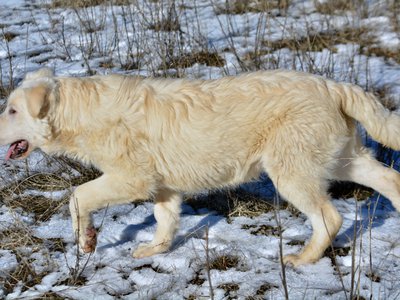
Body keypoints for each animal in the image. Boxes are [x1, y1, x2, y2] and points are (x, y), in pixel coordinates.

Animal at [1, 69, 398, 266]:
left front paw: (85, 240)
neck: (79, 113)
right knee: (389, 178)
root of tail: (333, 85)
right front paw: (156, 251)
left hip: (292, 171)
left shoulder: (131, 179)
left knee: (330, 218)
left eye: (12, 110)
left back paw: (303, 259)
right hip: (342, 158)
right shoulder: (161, 185)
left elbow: (77, 197)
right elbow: (164, 220)